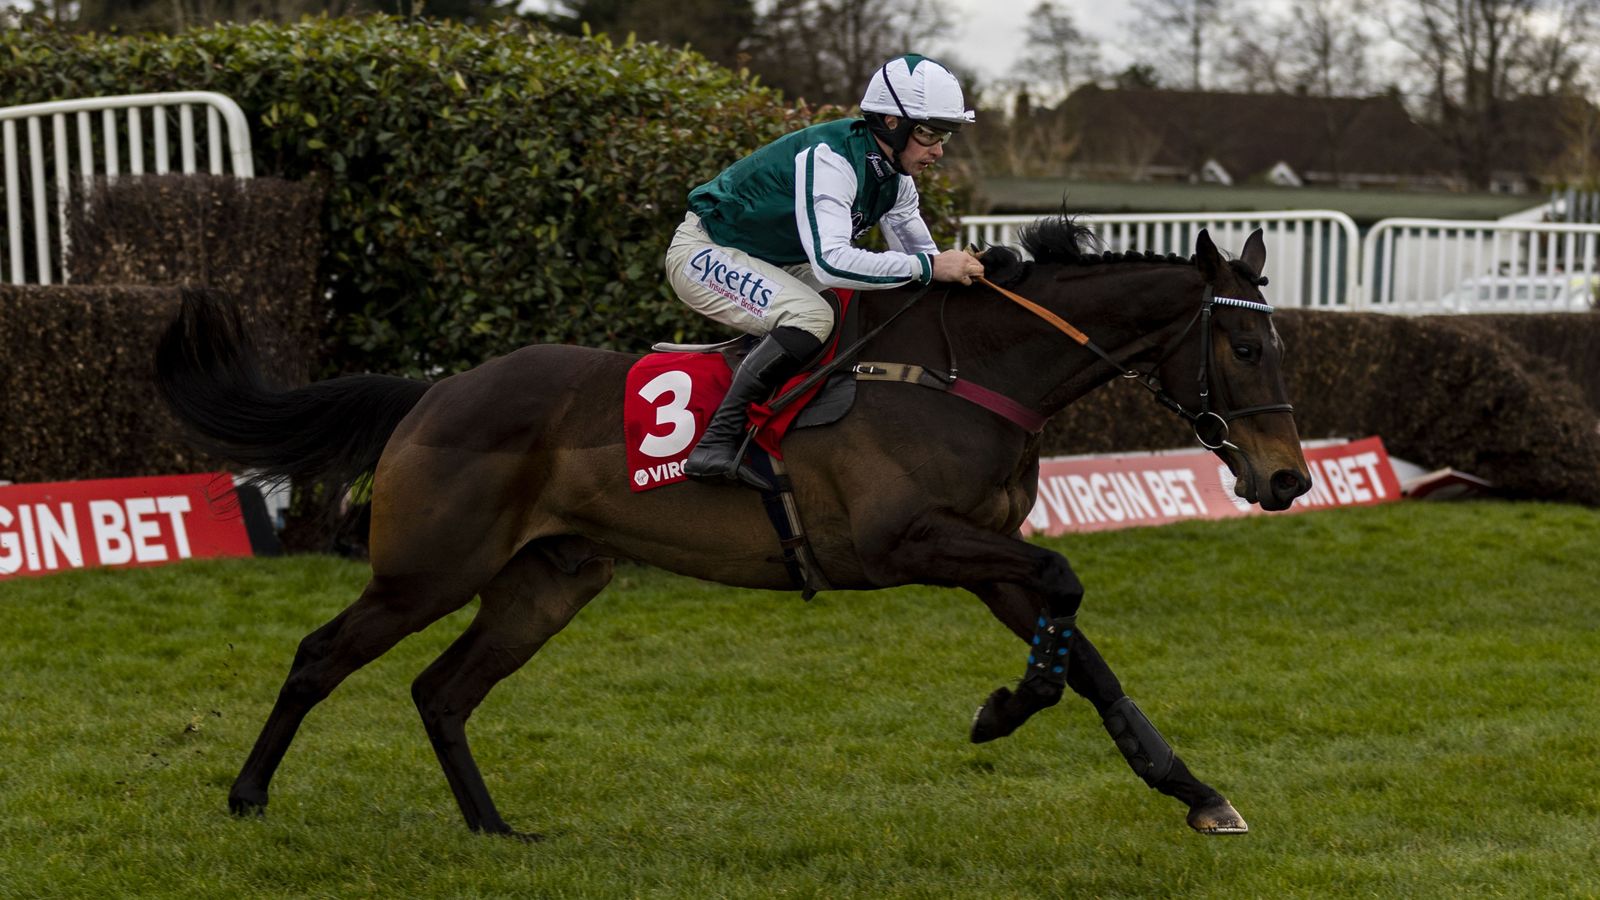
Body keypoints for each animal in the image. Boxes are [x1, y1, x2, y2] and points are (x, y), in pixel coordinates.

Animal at [159, 212, 1312, 839]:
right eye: (1247, 349)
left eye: (1282, 344)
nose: (1289, 478)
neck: (967, 374)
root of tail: (434, 392)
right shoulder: (905, 543)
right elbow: (1067, 590)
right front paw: (1001, 709)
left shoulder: (985, 559)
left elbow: (1079, 644)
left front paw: (1191, 789)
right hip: (425, 572)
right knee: (322, 656)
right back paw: (249, 795)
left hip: (545, 582)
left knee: (441, 692)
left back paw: (493, 826)